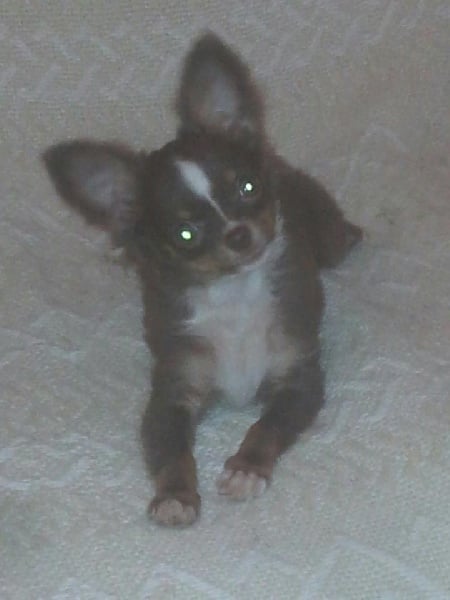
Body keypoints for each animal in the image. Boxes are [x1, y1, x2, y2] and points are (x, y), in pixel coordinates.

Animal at [43, 33, 362, 527]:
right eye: (186, 234)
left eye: (248, 188)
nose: (238, 233)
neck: (235, 295)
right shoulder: (172, 392)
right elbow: (171, 450)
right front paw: (175, 495)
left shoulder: (298, 378)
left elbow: (267, 424)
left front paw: (247, 468)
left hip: (325, 237)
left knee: (339, 237)